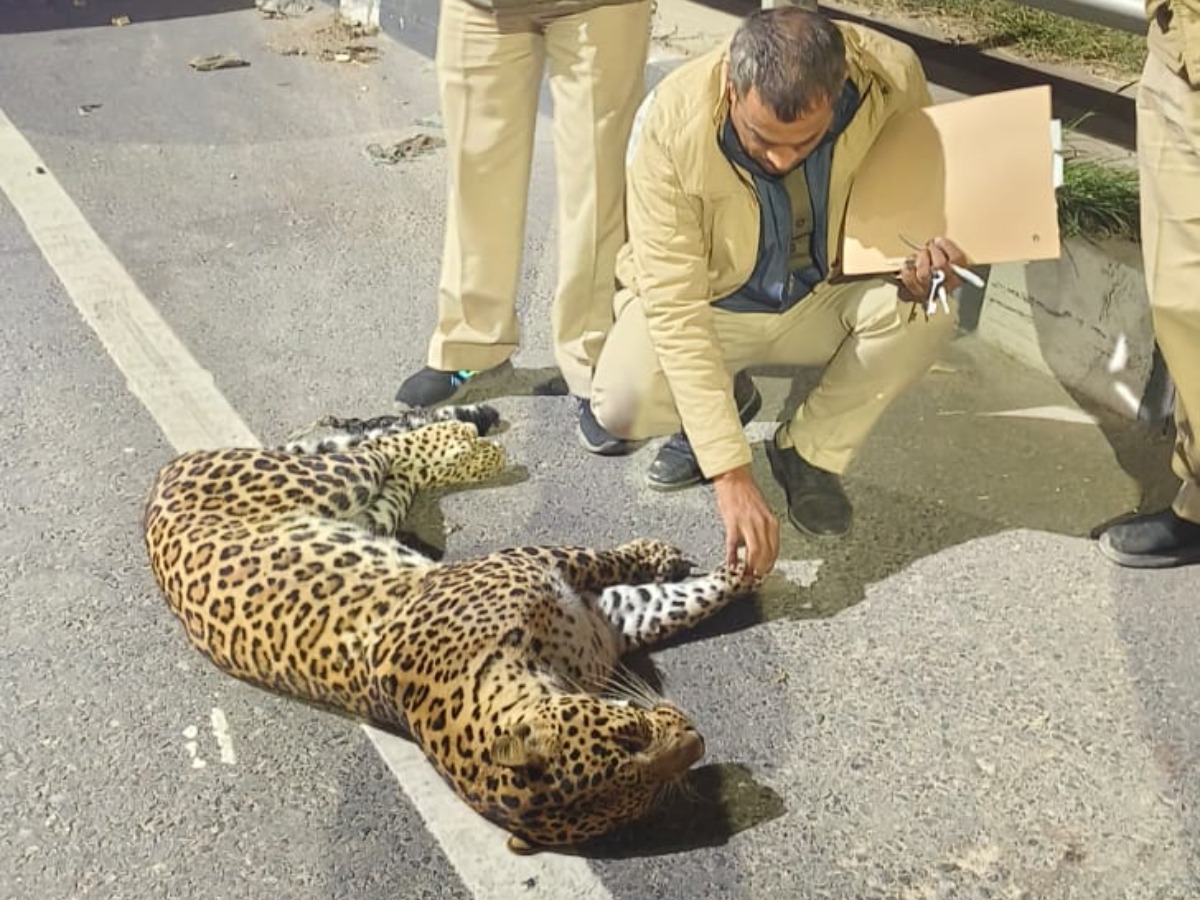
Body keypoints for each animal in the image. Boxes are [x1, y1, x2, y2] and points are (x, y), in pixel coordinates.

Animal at [142, 405, 758, 854]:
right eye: (644, 794)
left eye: (630, 736)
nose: (698, 740)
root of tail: (156, 486)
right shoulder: (573, 587)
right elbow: (643, 582)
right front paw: (716, 559)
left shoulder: (581, 598)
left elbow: (667, 588)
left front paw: (740, 554)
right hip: (349, 491)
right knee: (382, 455)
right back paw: (465, 439)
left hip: (353, 496)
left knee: (370, 449)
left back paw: (459, 429)